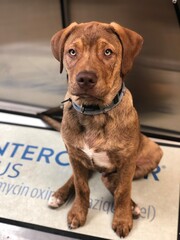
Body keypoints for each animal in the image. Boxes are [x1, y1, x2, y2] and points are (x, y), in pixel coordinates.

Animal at [47, 22, 163, 238]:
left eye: (108, 52)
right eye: (72, 52)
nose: (85, 79)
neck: (94, 112)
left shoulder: (128, 160)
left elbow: (123, 190)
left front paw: (122, 218)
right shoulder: (74, 154)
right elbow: (81, 186)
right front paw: (78, 212)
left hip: (152, 152)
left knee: (111, 181)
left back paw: (131, 206)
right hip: (77, 157)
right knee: (82, 177)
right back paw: (59, 195)